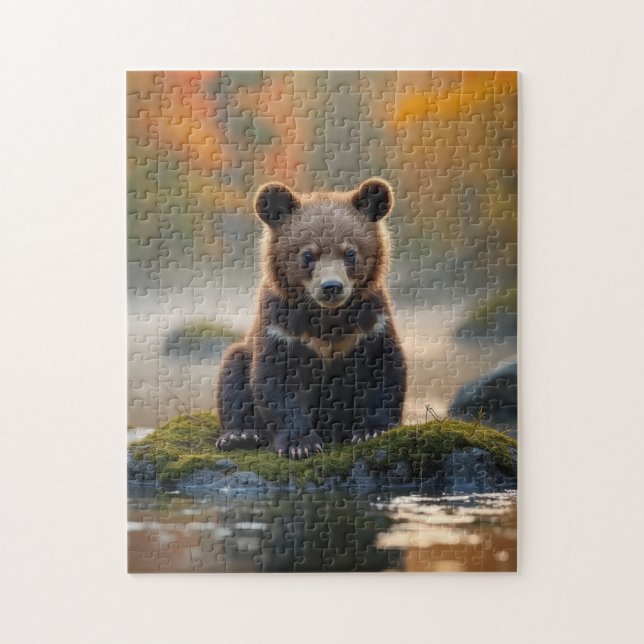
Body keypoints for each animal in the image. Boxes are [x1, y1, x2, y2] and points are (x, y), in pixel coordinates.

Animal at [215, 178, 407, 458]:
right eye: (308, 254)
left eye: (350, 252)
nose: (331, 286)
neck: (326, 319)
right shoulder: (283, 328)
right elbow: (279, 383)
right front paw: (300, 444)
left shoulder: (370, 324)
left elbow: (383, 372)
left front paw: (372, 430)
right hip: (244, 352)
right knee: (234, 373)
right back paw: (238, 436)